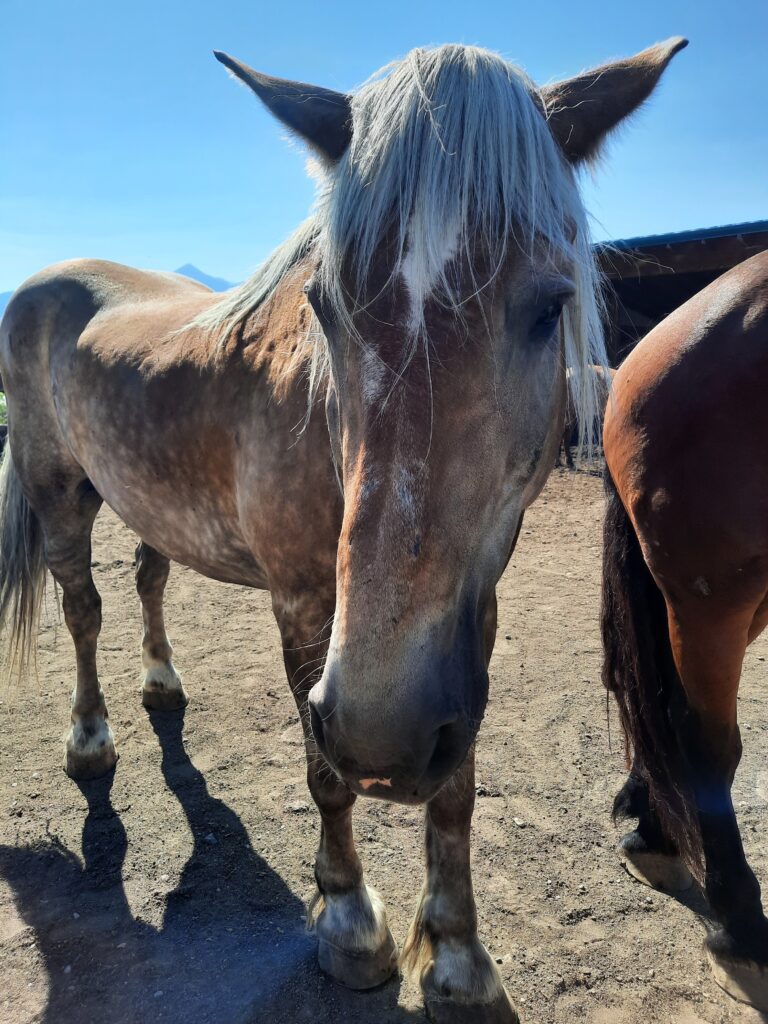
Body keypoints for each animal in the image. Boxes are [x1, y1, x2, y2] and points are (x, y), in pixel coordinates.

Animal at [0, 39, 686, 1022]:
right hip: (59, 492)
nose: (383, 740)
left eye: (550, 306)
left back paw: (163, 688)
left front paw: (459, 963)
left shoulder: (468, 622)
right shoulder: (302, 603)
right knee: (83, 611)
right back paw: (90, 743)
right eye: (324, 307)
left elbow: (456, 792)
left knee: (147, 581)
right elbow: (324, 774)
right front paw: (351, 922)